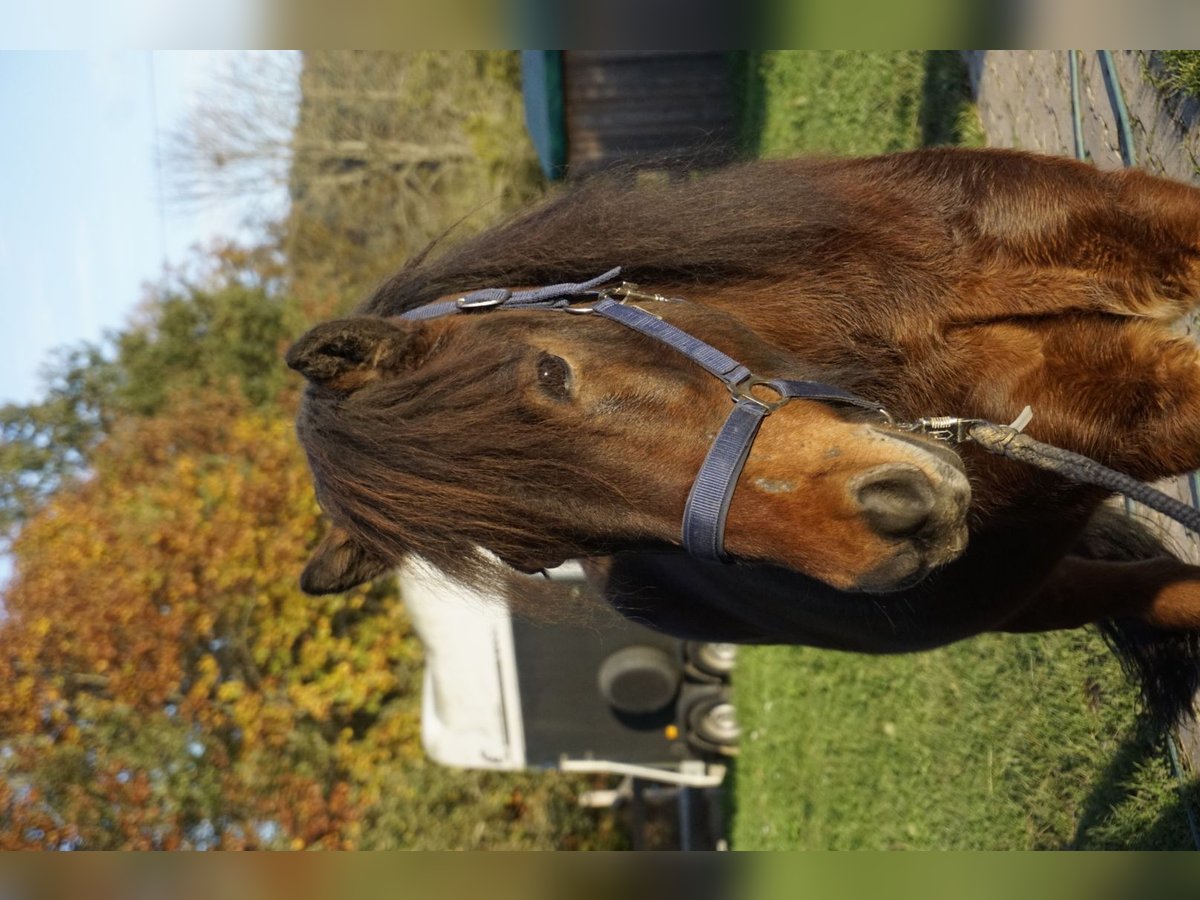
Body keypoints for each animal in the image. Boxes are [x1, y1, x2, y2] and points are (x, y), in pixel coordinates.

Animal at [283, 146, 1200, 724]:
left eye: (552, 373)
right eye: (541, 555)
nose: (896, 521)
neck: (881, 333)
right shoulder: (1104, 413)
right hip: (1026, 594)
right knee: (1156, 588)